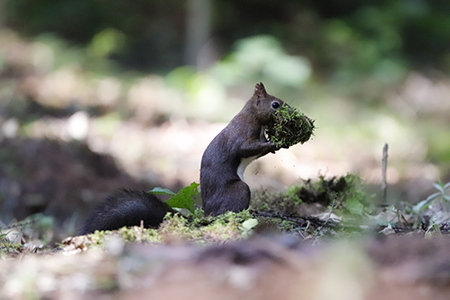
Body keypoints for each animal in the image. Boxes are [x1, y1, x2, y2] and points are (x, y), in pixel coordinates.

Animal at [79, 83, 286, 236]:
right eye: (275, 104)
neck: (251, 114)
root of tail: (207, 214)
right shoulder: (244, 132)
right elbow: (245, 148)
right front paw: (275, 143)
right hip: (238, 191)